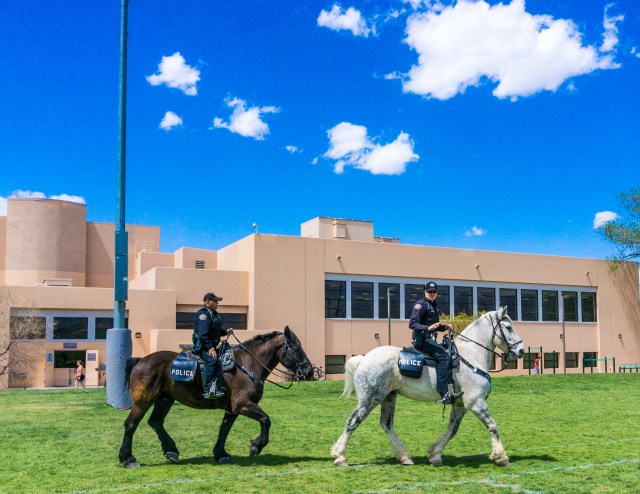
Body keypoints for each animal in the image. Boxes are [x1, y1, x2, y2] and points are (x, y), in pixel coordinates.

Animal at [118, 326, 315, 468]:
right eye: (295, 348)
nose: (309, 371)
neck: (247, 364)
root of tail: (141, 360)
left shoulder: (233, 409)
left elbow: (224, 429)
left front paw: (221, 454)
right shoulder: (243, 405)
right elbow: (266, 420)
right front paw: (256, 445)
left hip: (165, 400)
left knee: (156, 422)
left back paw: (171, 451)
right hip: (143, 401)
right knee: (131, 424)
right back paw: (128, 458)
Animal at [331, 307, 525, 468]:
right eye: (508, 327)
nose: (521, 350)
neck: (471, 356)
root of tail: (363, 358)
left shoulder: (460, 404)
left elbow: (452, 429)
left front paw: (434, 454)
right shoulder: (475, 402)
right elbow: (492, 425)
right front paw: (501, 457)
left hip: (388, 397)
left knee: (386, 424)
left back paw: (404, 457)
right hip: (370, 399)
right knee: (353, 421)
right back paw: (340, 456)